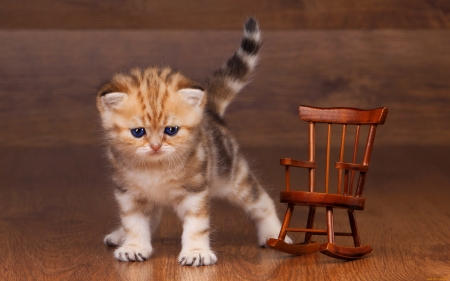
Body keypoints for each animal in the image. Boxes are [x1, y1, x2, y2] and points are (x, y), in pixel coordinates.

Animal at [96, 18, 290, 266]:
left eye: (171, 130)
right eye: (138, 132)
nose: (156, 146)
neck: (155, 168)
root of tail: (210, 110)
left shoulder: (195, 190)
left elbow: (197, 225)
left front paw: (196, 252)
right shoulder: (128, 192)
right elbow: (134, 222)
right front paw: (133, 246)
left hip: (232, 176)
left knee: (261, 201)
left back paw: (273, 234)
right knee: (153, 217)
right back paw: (120, 235)